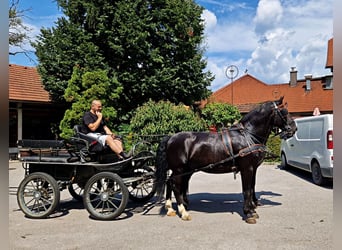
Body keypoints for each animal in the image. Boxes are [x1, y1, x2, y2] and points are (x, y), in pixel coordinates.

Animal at [155, 96, 296, 224]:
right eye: (284, 112)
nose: (294, 129)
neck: (248, 135)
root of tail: (171, 137)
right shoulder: (247, 168)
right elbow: (247, 189)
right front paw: (249, 212)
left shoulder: (253, 168)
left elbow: (252, 186)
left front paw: (253, 207)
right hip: (179, 169)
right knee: (175, 185)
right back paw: (183, 212)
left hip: (185, 169)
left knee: (171, 182)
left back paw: (171, 208)